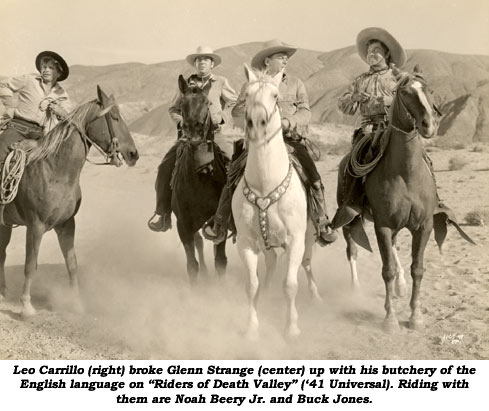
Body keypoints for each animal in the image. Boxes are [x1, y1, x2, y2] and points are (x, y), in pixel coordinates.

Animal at [0, 87, 139, 318]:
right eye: (114, 117)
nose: (133, 154)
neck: (55, 170)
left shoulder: (67, 225)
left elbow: (72, 264)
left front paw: (76, 303)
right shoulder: (35, 226)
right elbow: (30, 265)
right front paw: (26, 306)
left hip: (5, 224)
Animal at [169, 75, 228, 284]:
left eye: (207, 102)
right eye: (181, 103)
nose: (193, 129)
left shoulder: (219, 222)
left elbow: (221, 261)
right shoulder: (183, 225)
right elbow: (192, 265)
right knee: (199, 243)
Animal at [231, 66, 318, 340]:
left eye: (276, 96)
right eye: (246, 95)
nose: (257, 123)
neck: (265, 186)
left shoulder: (295, 240)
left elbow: (290, 285)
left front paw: (292, 327)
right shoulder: (246, 243)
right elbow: (251, 286)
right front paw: (252, 328)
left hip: (309, 235)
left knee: (307, 263)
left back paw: (316, 296)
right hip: (266, 242)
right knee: (271, 262)